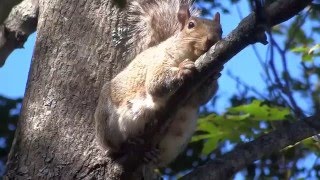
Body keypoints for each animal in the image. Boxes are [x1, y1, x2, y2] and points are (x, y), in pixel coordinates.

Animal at [94, 0, 221, 167]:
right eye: (191, 25)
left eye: (221, 30)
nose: (212, 40)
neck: (192, 55)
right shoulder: (160, 59)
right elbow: (156, 84)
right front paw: (182, 69)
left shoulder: (194, 96)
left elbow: (201, 98)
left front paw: (212, 77)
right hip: (108, 123)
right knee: (115, 146)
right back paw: (129, 143)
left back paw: (151, 154)